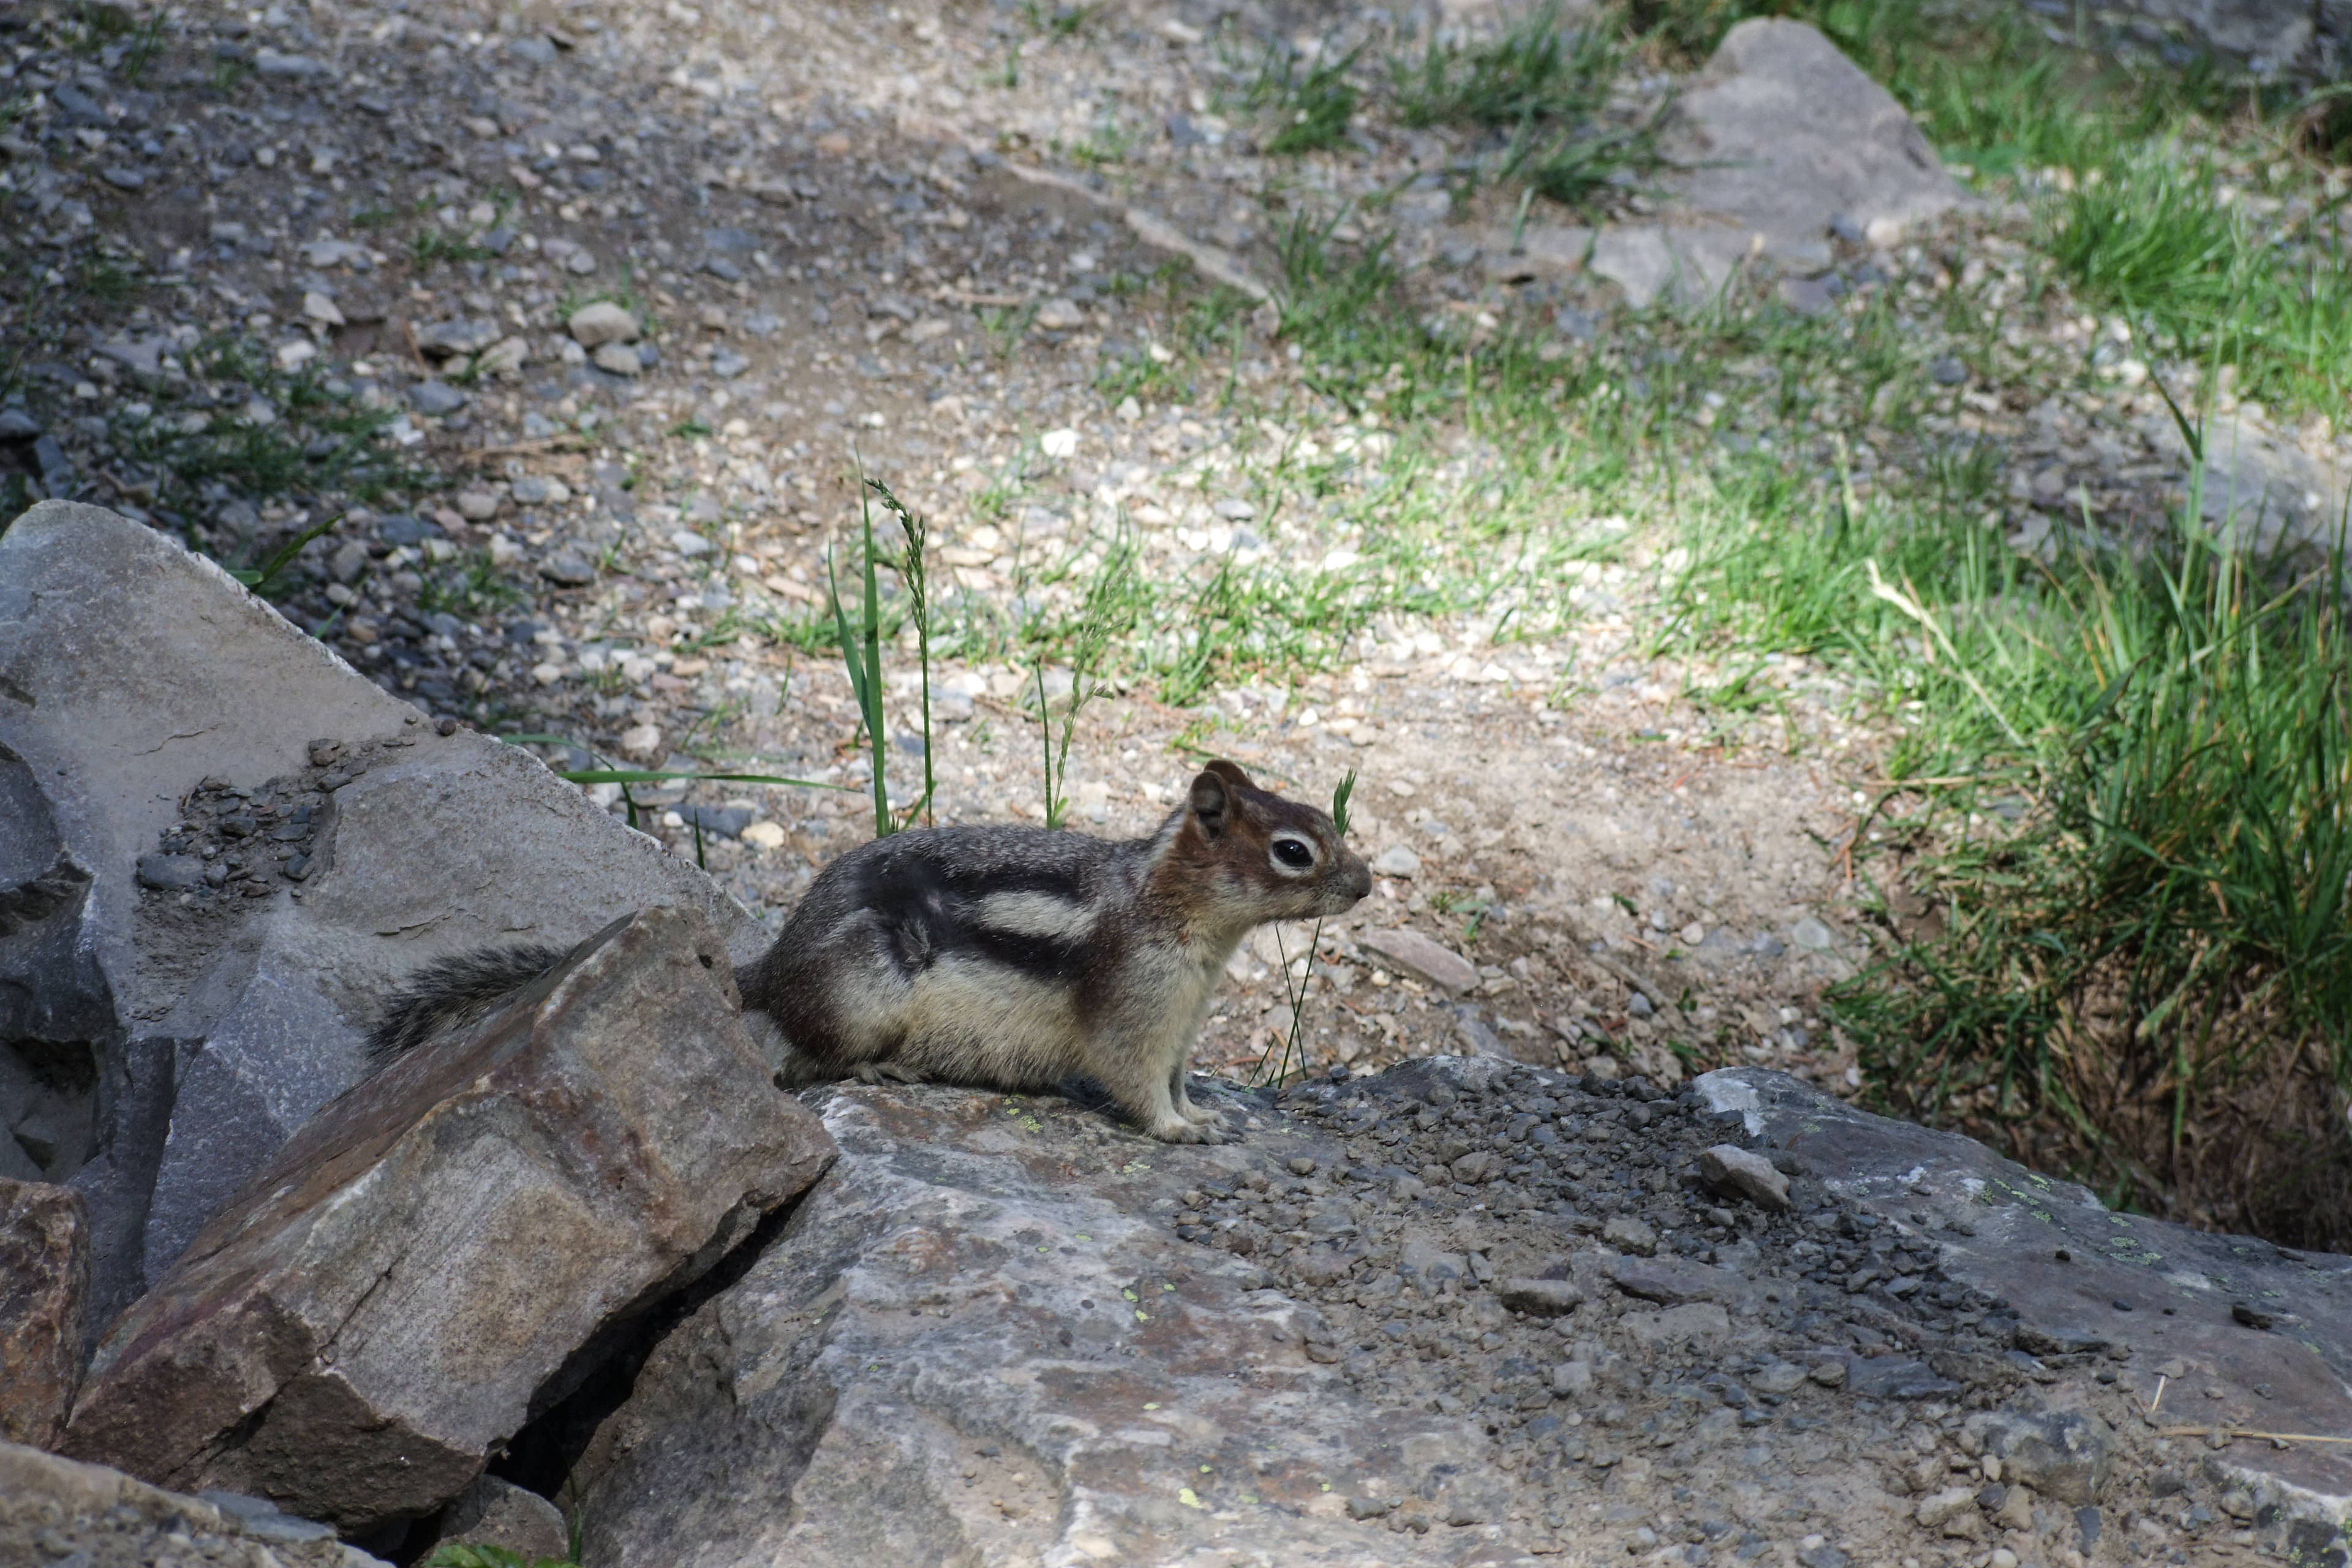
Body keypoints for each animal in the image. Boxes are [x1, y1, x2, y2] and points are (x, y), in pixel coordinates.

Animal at [370, 760, 1370, 1143]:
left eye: (1327, 824)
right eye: (1295, 851)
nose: (1364, 884)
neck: (1174, 910)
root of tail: (774, 965)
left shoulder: (1183, 1021)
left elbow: (1177, 1077)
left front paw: (1205, 1113)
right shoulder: (1137, 1006)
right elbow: (1134, 1083)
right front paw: (1179, 1131)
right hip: (859, 999)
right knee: (806, 1063)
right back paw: (885, 1071)